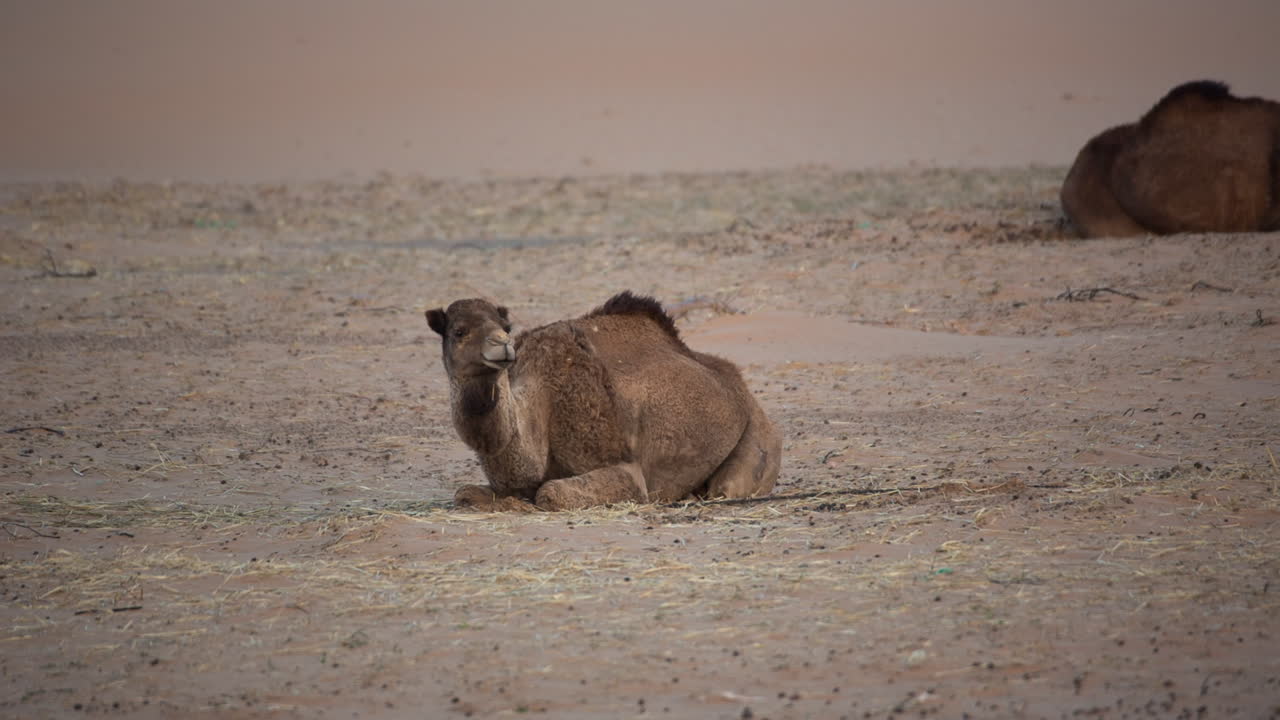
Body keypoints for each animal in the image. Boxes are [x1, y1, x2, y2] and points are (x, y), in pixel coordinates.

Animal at [425, 291, 781, 511]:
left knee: (728, 487)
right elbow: (464, 494)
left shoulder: (627, 473)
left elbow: (549, 492)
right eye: (458, 331)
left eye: (505, 326)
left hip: (756, 439)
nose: (502, 345)